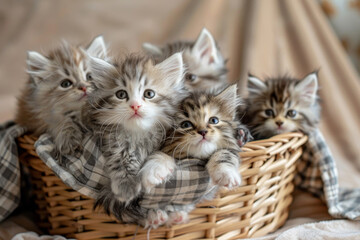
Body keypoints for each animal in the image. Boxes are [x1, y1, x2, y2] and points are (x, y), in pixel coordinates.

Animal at [87, 52, 187, 204]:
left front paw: (154, 170)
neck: (138, 135)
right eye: (121, 94)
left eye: (149, 94)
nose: (135, 106)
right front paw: (125, 185)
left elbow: (166, 154)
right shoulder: (111, 138)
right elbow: (118, 156)